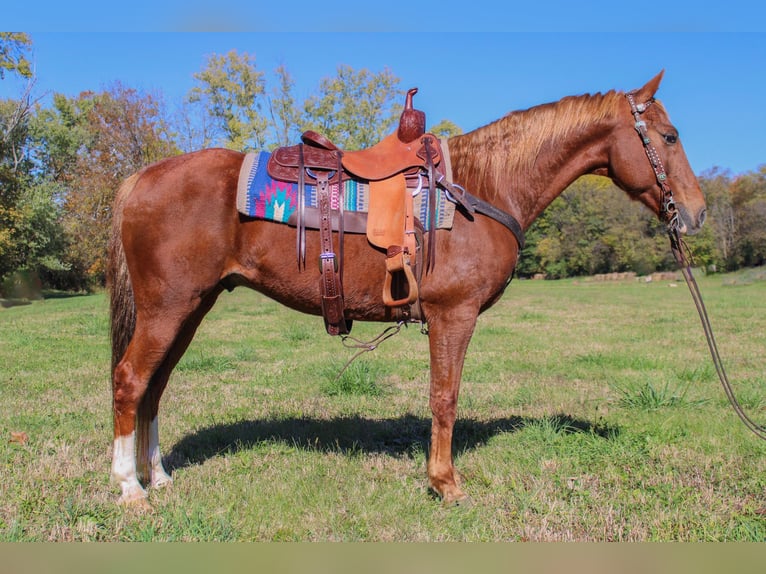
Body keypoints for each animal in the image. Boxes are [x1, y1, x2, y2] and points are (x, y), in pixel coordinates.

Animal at [108, 72, 708, 508]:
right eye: (670, 137)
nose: (697, 212)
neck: (483, 188)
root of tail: (142, 178)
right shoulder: (453, 315)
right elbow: (445, 397)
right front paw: (445, 482)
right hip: (168, 307)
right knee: (131, 380)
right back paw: (130, 487)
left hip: (191, 308)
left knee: (155, 388)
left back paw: (159, 476)